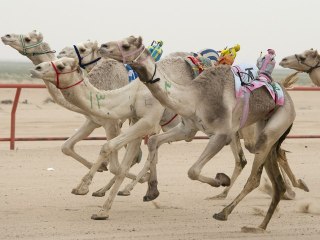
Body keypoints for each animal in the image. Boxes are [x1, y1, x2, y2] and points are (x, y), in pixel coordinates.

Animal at [101, 35, 302, 231]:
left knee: (254, 176)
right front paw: (152, 191)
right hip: (265, 128)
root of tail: (287, 94)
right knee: (275, 178)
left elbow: (193, 171)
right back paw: (261, 223)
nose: (103, 46)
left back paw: (224, 213)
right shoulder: (188, 127)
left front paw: (221, 179)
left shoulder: (222, 134)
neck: (195, 97)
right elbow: (154, 141)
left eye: (126, 45)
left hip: (273, 126)